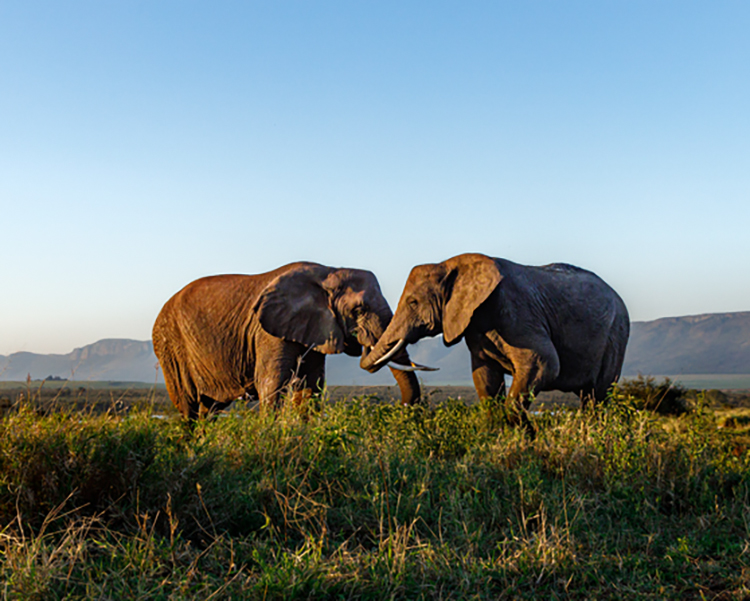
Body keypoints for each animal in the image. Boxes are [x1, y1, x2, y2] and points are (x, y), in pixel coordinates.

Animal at [153, 262, 428, 419]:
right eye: (359, 310)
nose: (403, 409)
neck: (329, 272)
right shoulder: (268, 331)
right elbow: (271, 385)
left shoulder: (315, 330)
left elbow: (311, 387)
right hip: (170, 348)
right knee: (188, 405)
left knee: (208, 409)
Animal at [360, 253, 630, 418]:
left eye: (413, 302)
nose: (361, 335)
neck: (450, 263)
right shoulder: (475, 325)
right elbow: (485, 378)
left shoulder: (516, 312)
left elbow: (545, 364)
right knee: (589, 398)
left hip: (616, 335)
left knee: (599, 396)